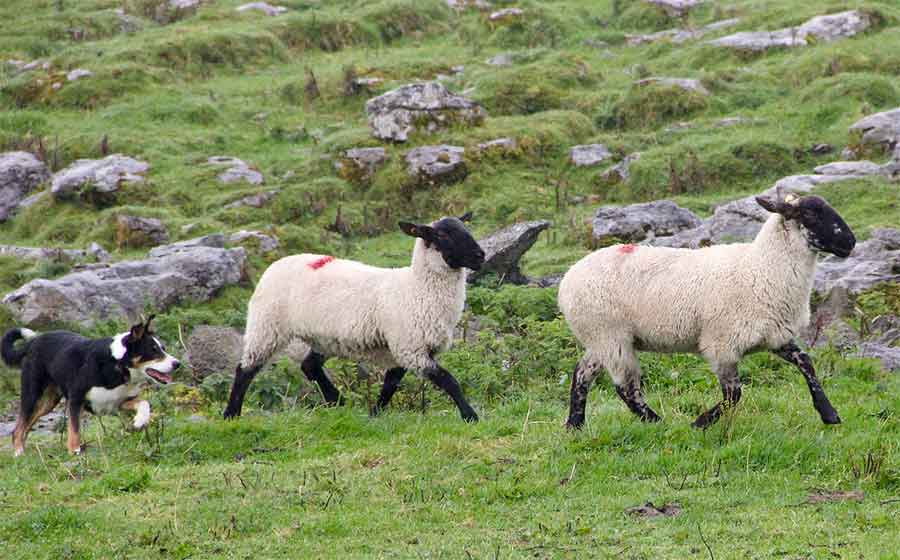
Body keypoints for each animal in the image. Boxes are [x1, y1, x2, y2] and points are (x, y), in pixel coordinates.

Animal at [224, 213, 486, 420]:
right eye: (442, 235)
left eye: (466, 228)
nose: (480, 256)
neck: (416, 289)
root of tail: (277, 263)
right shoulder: (410, 347)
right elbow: (449, 381)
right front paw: (470, 416)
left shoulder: (405, 349)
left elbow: (390, 386)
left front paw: (375, 414)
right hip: (266, 326)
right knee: (245, 369)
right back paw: (231, 414)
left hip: (323, 337)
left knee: (309, 366)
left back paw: (336, 400)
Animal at [564, 194, 856, 428]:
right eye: (809, 214)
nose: (850, 242)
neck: (761, 268)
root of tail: (568, 279)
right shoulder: (721, 344)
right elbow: (734, 394)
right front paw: (701, 422)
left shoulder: (774, 335)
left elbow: (806, 363)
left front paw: (829, 414)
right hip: (610, 335)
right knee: (626, 387)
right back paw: (658, 423)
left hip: (601, 338)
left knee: (582, 373)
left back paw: (575, 424)